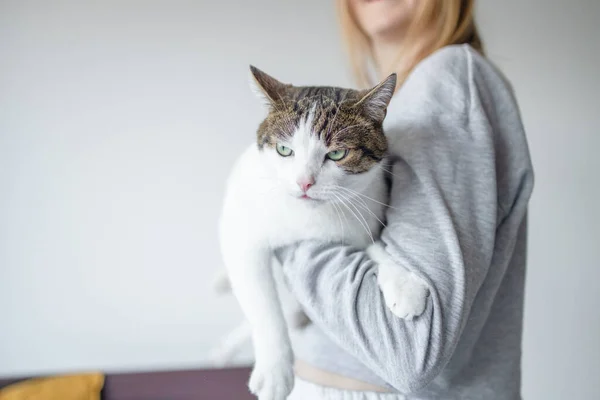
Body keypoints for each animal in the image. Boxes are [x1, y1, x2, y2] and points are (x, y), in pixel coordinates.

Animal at [216, 67, 426, 398]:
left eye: (337, 153)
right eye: (284, 150)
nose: (304, 182)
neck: (312, 218)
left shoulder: (365, 214)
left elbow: (374, 246)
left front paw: (403, 283)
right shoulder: (243, 236)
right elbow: (263, 306)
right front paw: (275, 371)